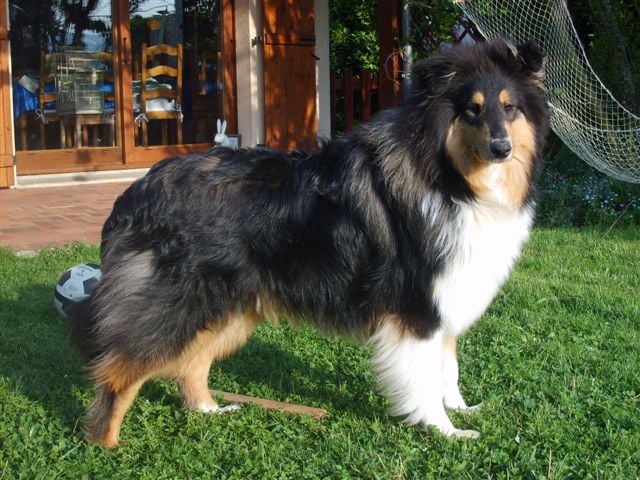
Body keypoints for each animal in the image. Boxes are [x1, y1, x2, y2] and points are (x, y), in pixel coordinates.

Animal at [69, 39, 552, 448]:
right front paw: (445, 431)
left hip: (227, 306)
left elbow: (447, 368)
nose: (501, 149)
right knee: (120, 370)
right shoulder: (417, 305)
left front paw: (461, 410)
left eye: (510, 109)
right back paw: (106, 444)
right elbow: (426, 379)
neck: (449, 177)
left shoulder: (445, 296)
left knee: (190, 366)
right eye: (471, 111)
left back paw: (210, 411)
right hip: (177, 303)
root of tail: (134, 193)